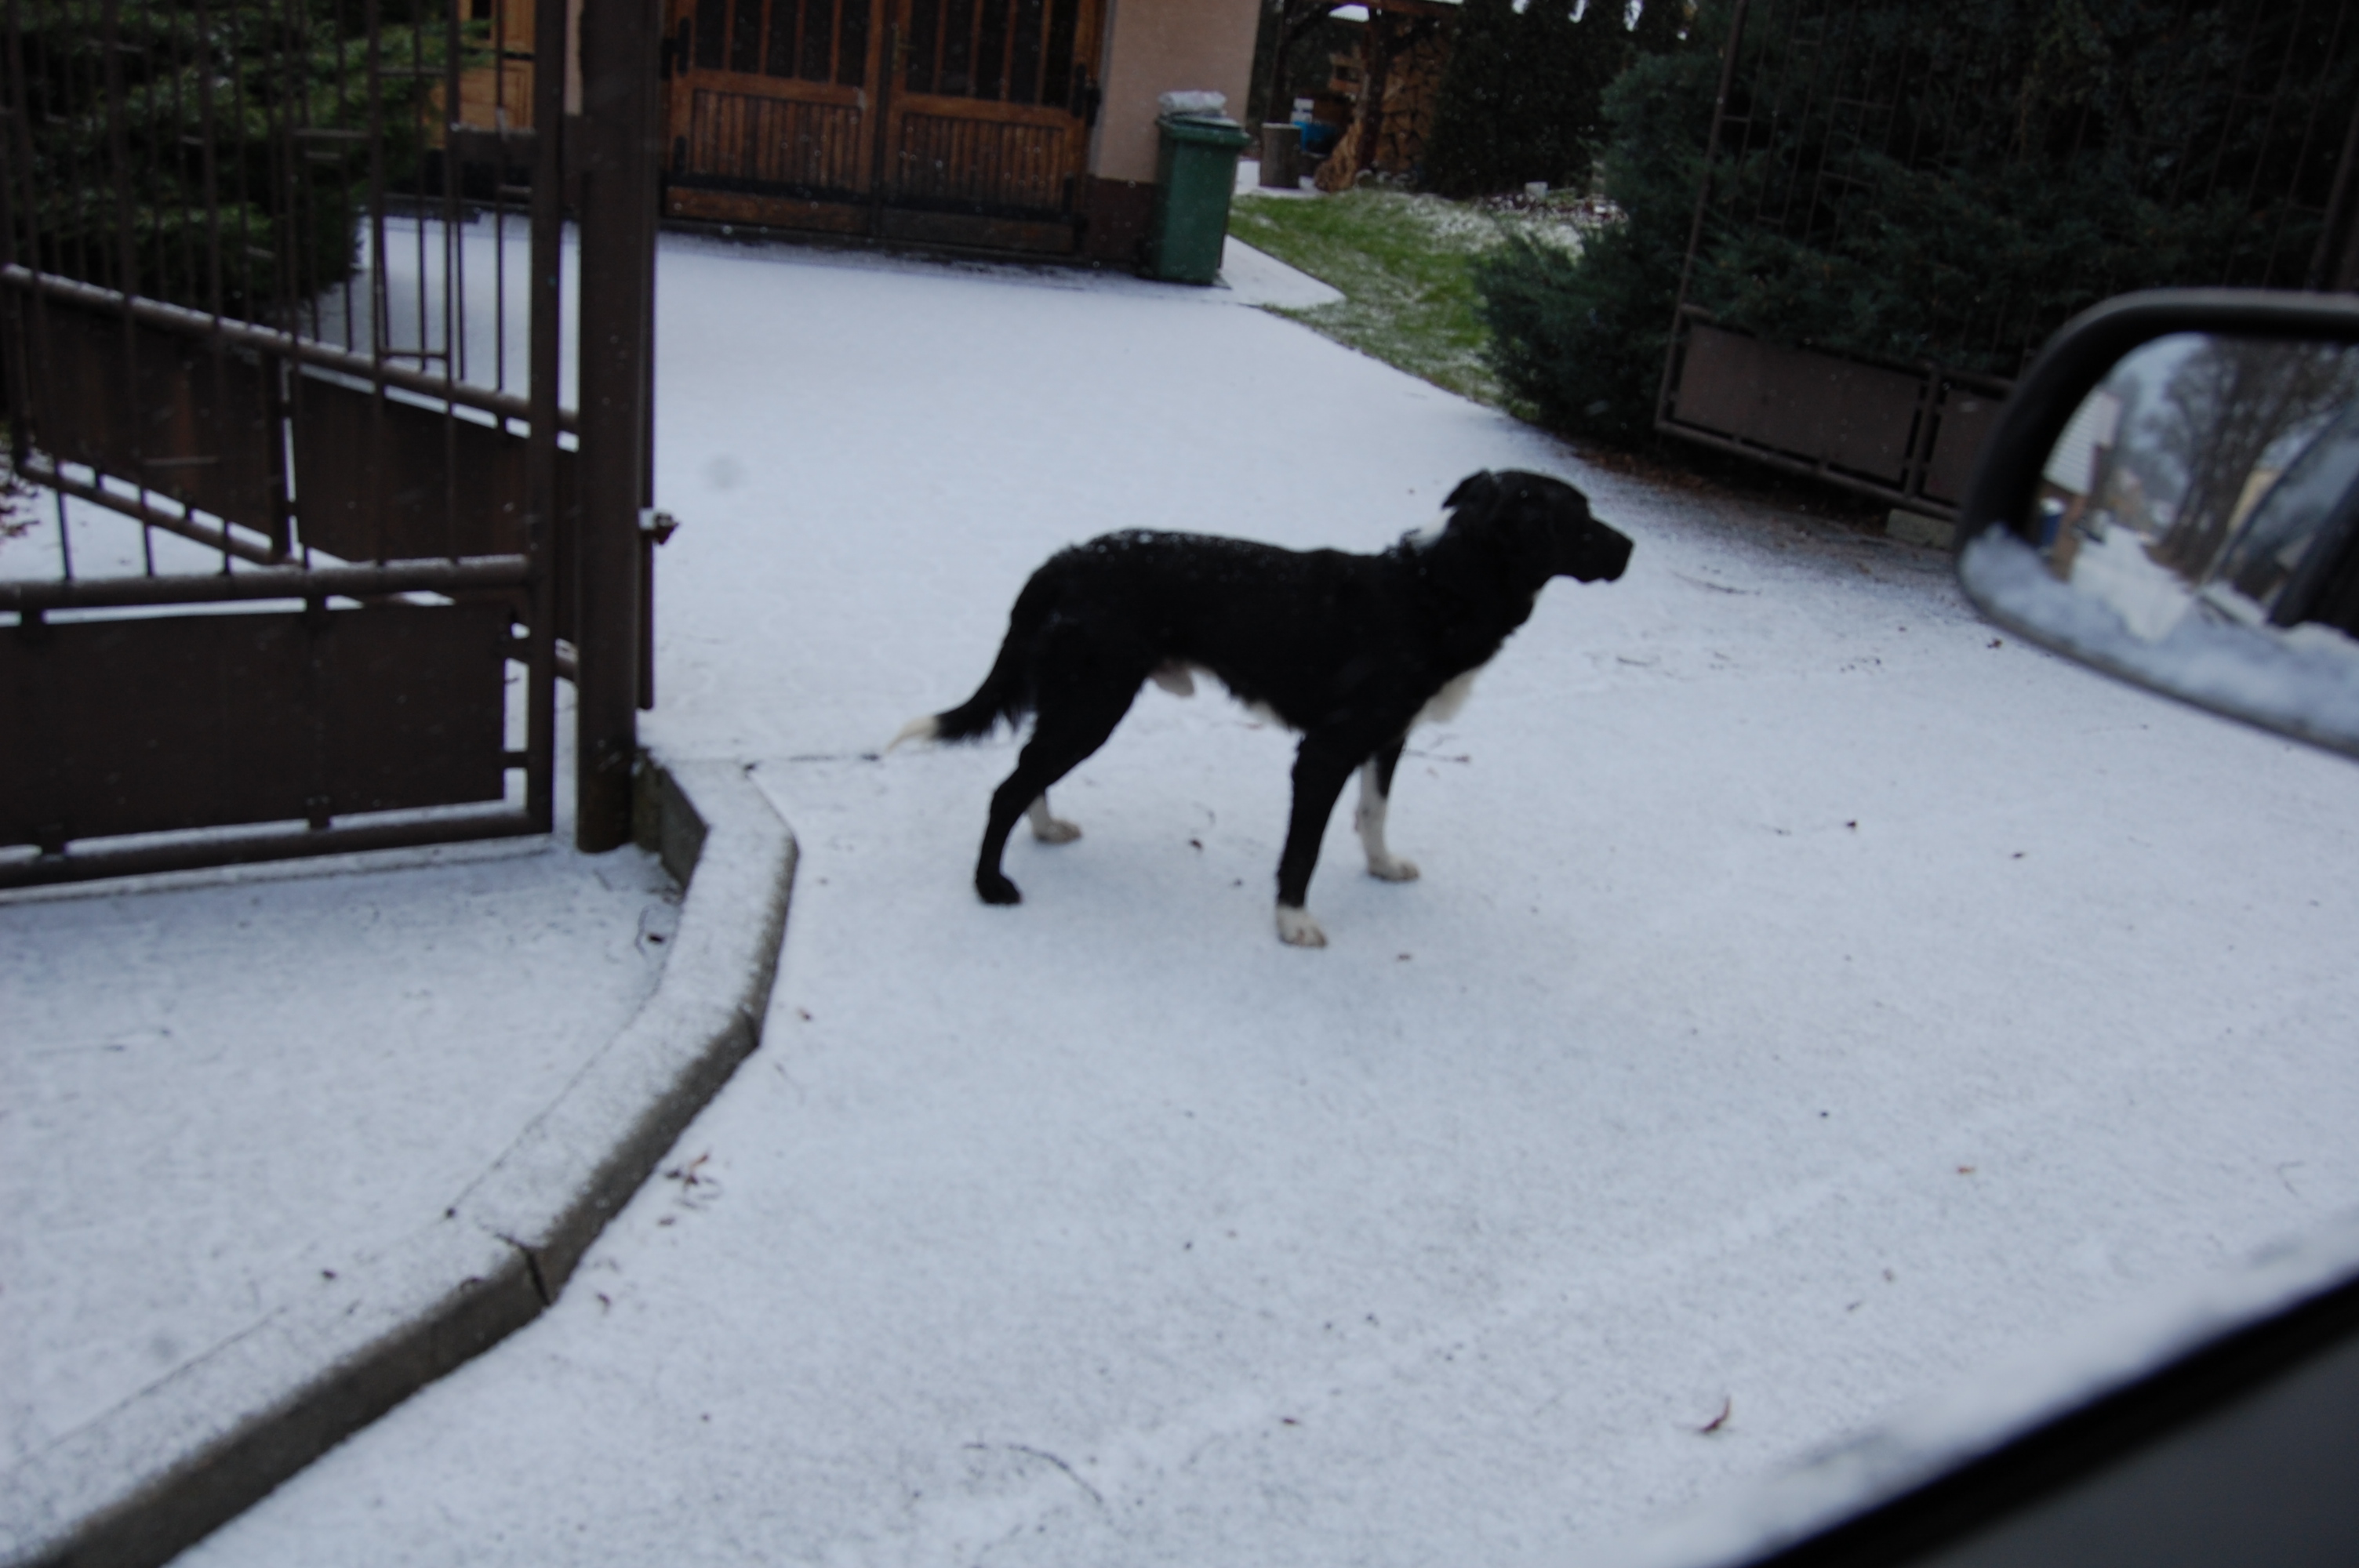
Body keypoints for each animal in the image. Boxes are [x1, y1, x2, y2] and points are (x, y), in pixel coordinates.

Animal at [894, 470, 1632, 946]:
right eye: (1578, 519)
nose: (1630, 548)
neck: (1434, 588)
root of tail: (1064, 560)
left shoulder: (1387, 738)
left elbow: (1374, 814)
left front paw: (1382, 867)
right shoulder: (1324, 753)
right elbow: (1303, 849)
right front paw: (1292, 922)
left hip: (1080, 701)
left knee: (1030, 772)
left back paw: (1044, 829)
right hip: (1094, 703)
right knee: (1009, 786)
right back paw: (990, 885)